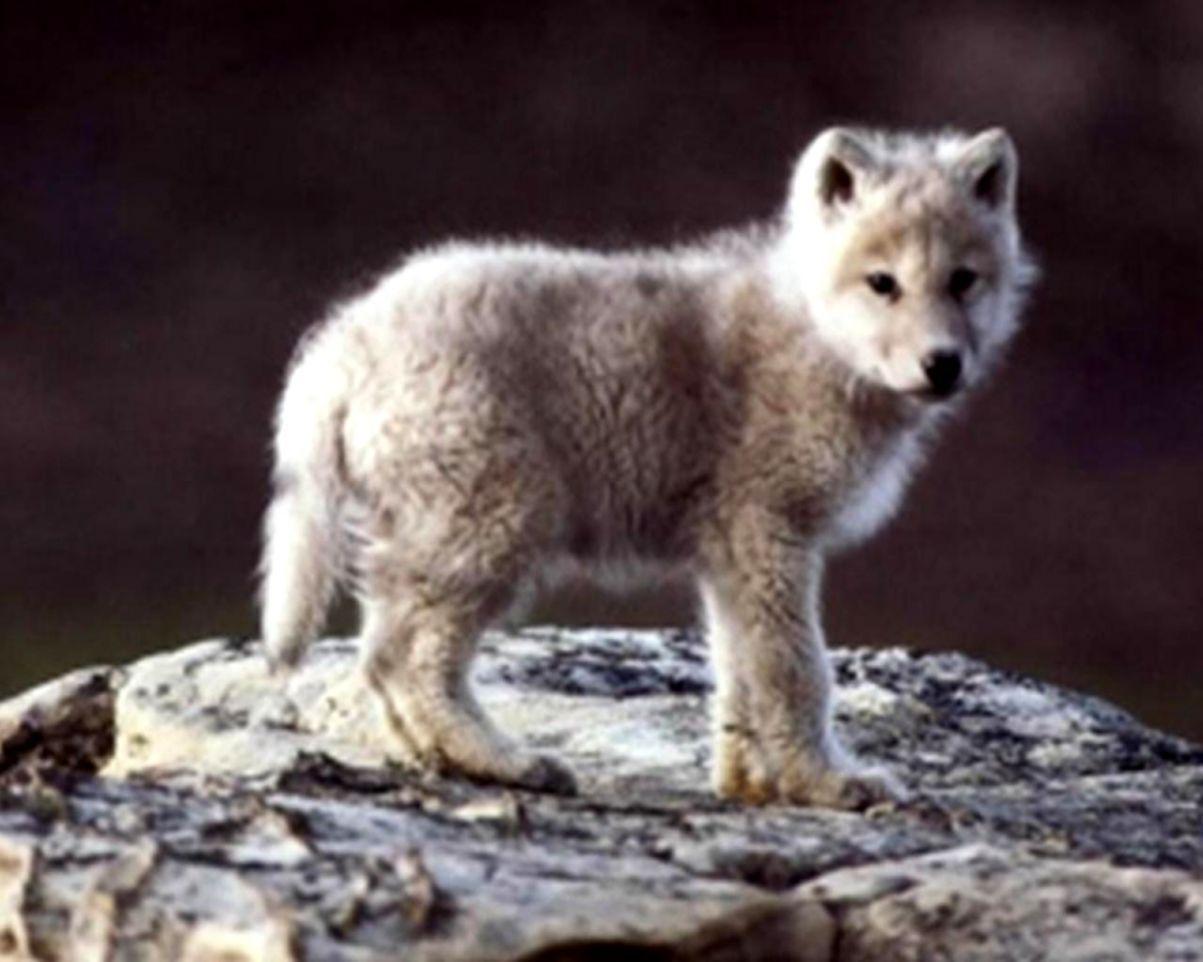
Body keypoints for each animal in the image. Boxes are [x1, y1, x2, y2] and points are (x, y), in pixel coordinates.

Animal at [259, 126, 1036, 809]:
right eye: (882, 283)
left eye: (963, 281)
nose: (943, 364)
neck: (814, 337)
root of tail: (345, 339)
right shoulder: (770, 534)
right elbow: (796, 671)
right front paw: (826, 784)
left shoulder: (731, 560)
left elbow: (738, 675)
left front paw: (749, 785)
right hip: (491, 525)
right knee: (410, 660)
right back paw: (506, 762)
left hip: (435, 532)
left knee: (381, 653)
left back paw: (437, 758)